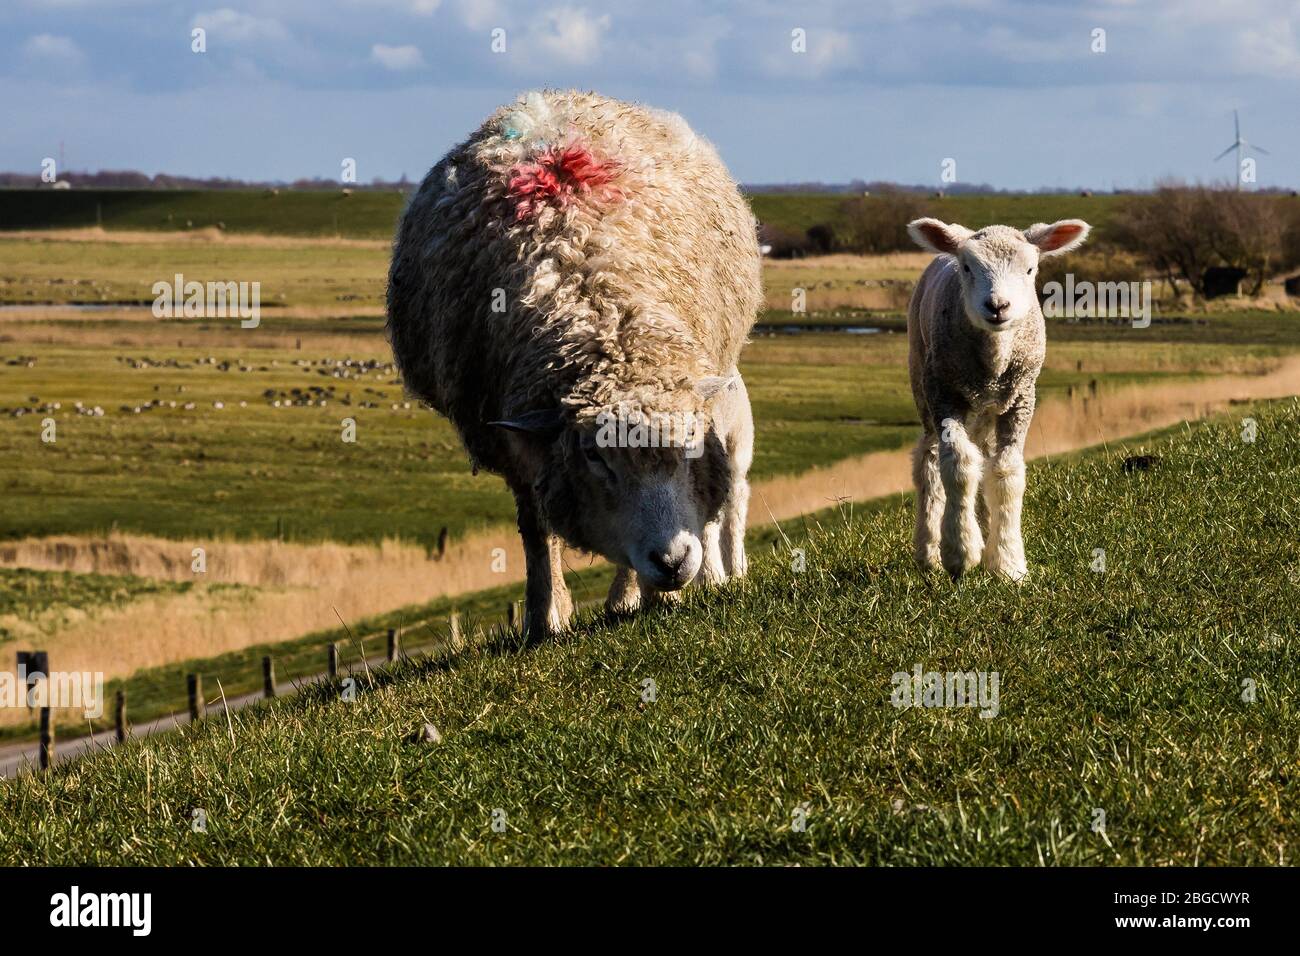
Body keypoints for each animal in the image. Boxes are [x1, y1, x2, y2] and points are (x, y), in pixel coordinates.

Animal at [390, 91, 764, 634]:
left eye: (691, 444)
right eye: (596, 459)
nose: (672, 563)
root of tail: (545, 99)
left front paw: (651, 595)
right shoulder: (515, 438)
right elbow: (535, 529)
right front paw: (545, 617)